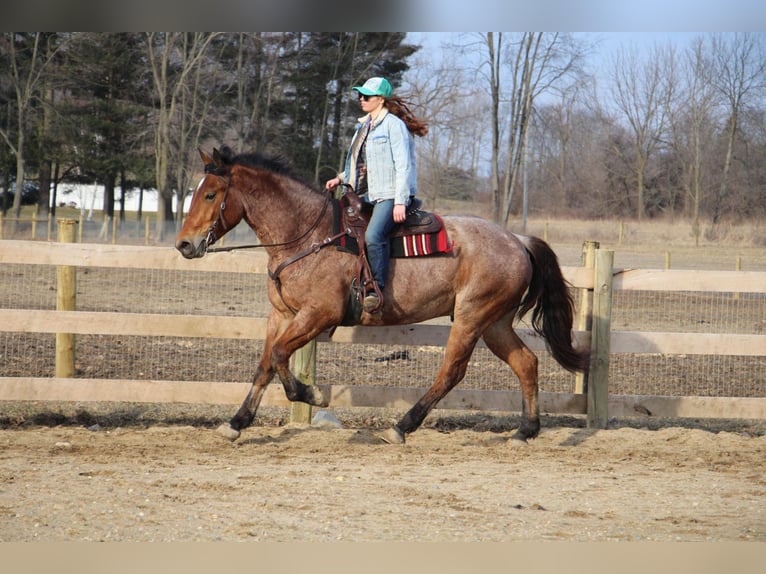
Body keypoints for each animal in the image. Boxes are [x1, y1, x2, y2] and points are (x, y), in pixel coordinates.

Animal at [177, 147, 592, 446]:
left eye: (211, 194)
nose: (184, 244)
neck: (308, 235)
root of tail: (517, 240)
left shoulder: (319, 314)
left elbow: (280, 356)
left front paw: (313, 395)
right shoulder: (281, 314)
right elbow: (265, 364)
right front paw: (236, 422)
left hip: (472, 317)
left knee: (451, 371)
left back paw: (401, 427)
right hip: (495, 323)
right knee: (526, 363)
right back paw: (525, 431)